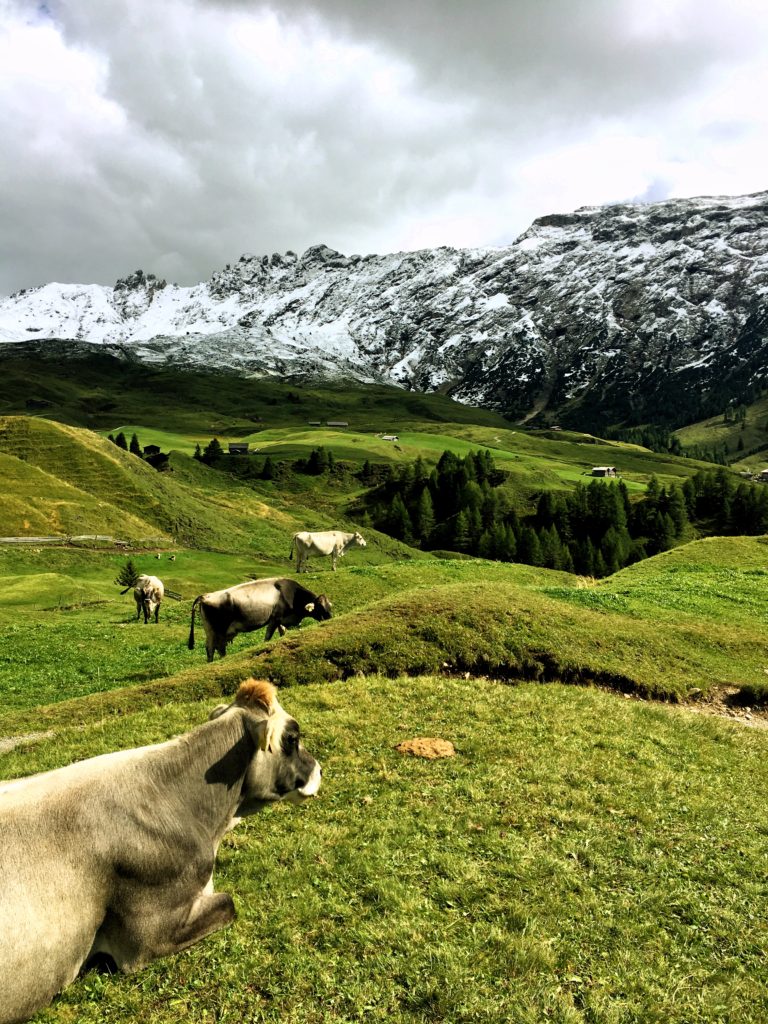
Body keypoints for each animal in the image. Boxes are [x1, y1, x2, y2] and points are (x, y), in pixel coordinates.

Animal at [188, 577, 331, 663]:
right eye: (320, 608)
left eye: (329, 606)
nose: (330, 618)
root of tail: (205, 596)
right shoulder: (274, 618)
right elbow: (267, 637)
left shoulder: (281, 619)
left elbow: (282, 632)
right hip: (218, 630)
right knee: (215, 648)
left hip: (212, 631)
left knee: (215, 648)